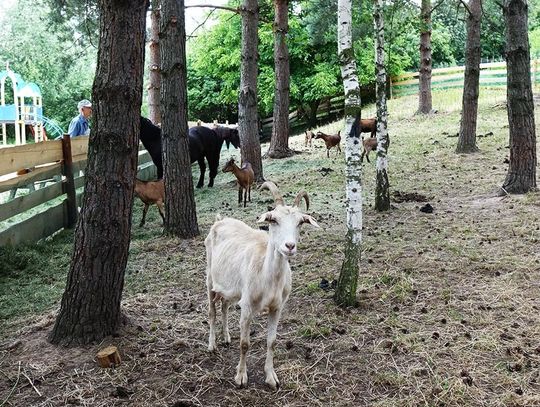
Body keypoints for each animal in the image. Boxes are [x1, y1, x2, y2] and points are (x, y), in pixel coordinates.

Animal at [205, 183, 318, 390]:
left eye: (300, 222)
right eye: (273, 219)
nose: (289, 246)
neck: (268, 279)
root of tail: (220, 220)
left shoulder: (277, 307)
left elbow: (271, 342)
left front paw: (271, 378)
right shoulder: (247, 305)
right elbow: (244, 344)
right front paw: (241, 377)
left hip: (231, 287)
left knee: (224, 306)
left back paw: (226, 337)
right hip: (210, 276)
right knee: (212, 311)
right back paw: (212, 345)